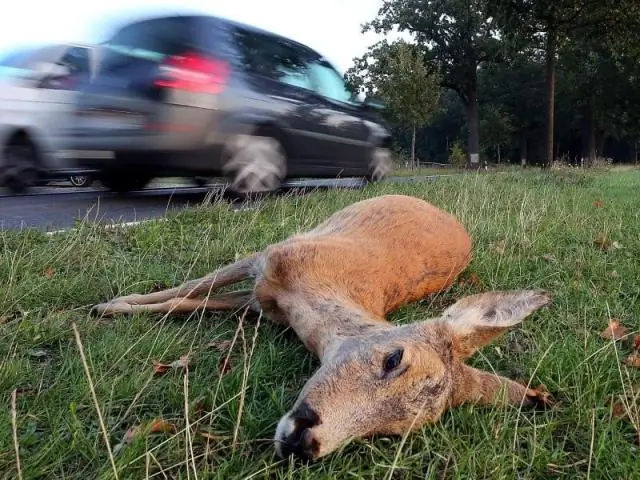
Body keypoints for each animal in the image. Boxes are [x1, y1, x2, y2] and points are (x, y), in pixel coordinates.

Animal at [91, 194, 556, 462]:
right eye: (393, 358)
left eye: (393, 431)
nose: (306, 445)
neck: (307, 295)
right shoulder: (270, 255)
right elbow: (192, 288)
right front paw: (110, 305)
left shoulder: (263, 302)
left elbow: (193, 302)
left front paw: (116, 306)